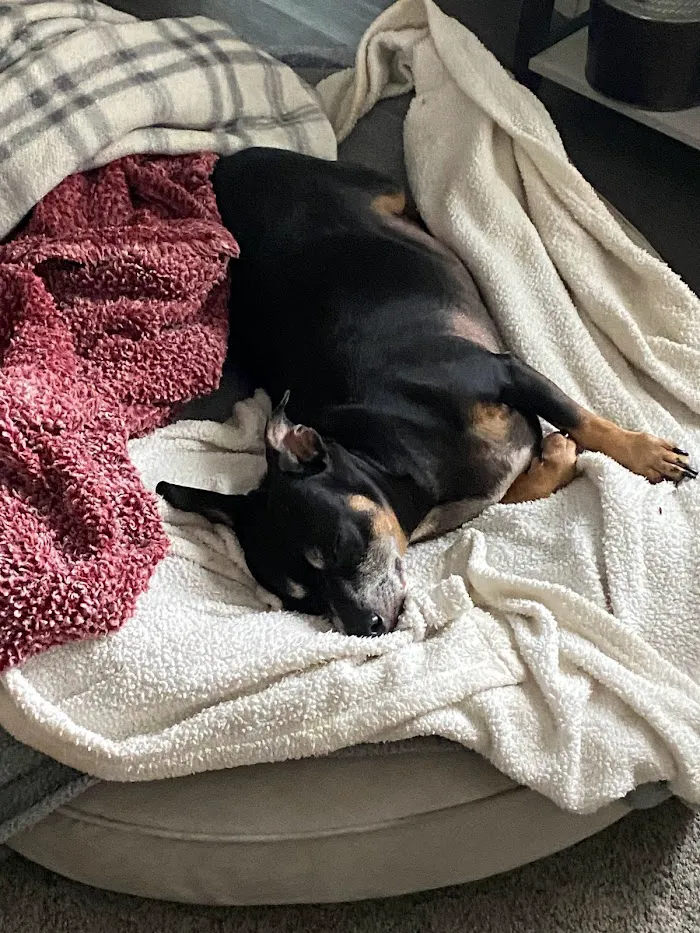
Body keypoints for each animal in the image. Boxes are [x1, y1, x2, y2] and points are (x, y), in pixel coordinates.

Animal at [157, 147, 695, 637]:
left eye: (339, 547)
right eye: (302, 601)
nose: (364, 627)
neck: (396, 456)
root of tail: (227, 162)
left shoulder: (504, 370)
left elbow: (585, 420)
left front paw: (647, 456)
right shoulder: (489, 480)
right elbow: (521, 484)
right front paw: (556, 456)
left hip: (373, 189)